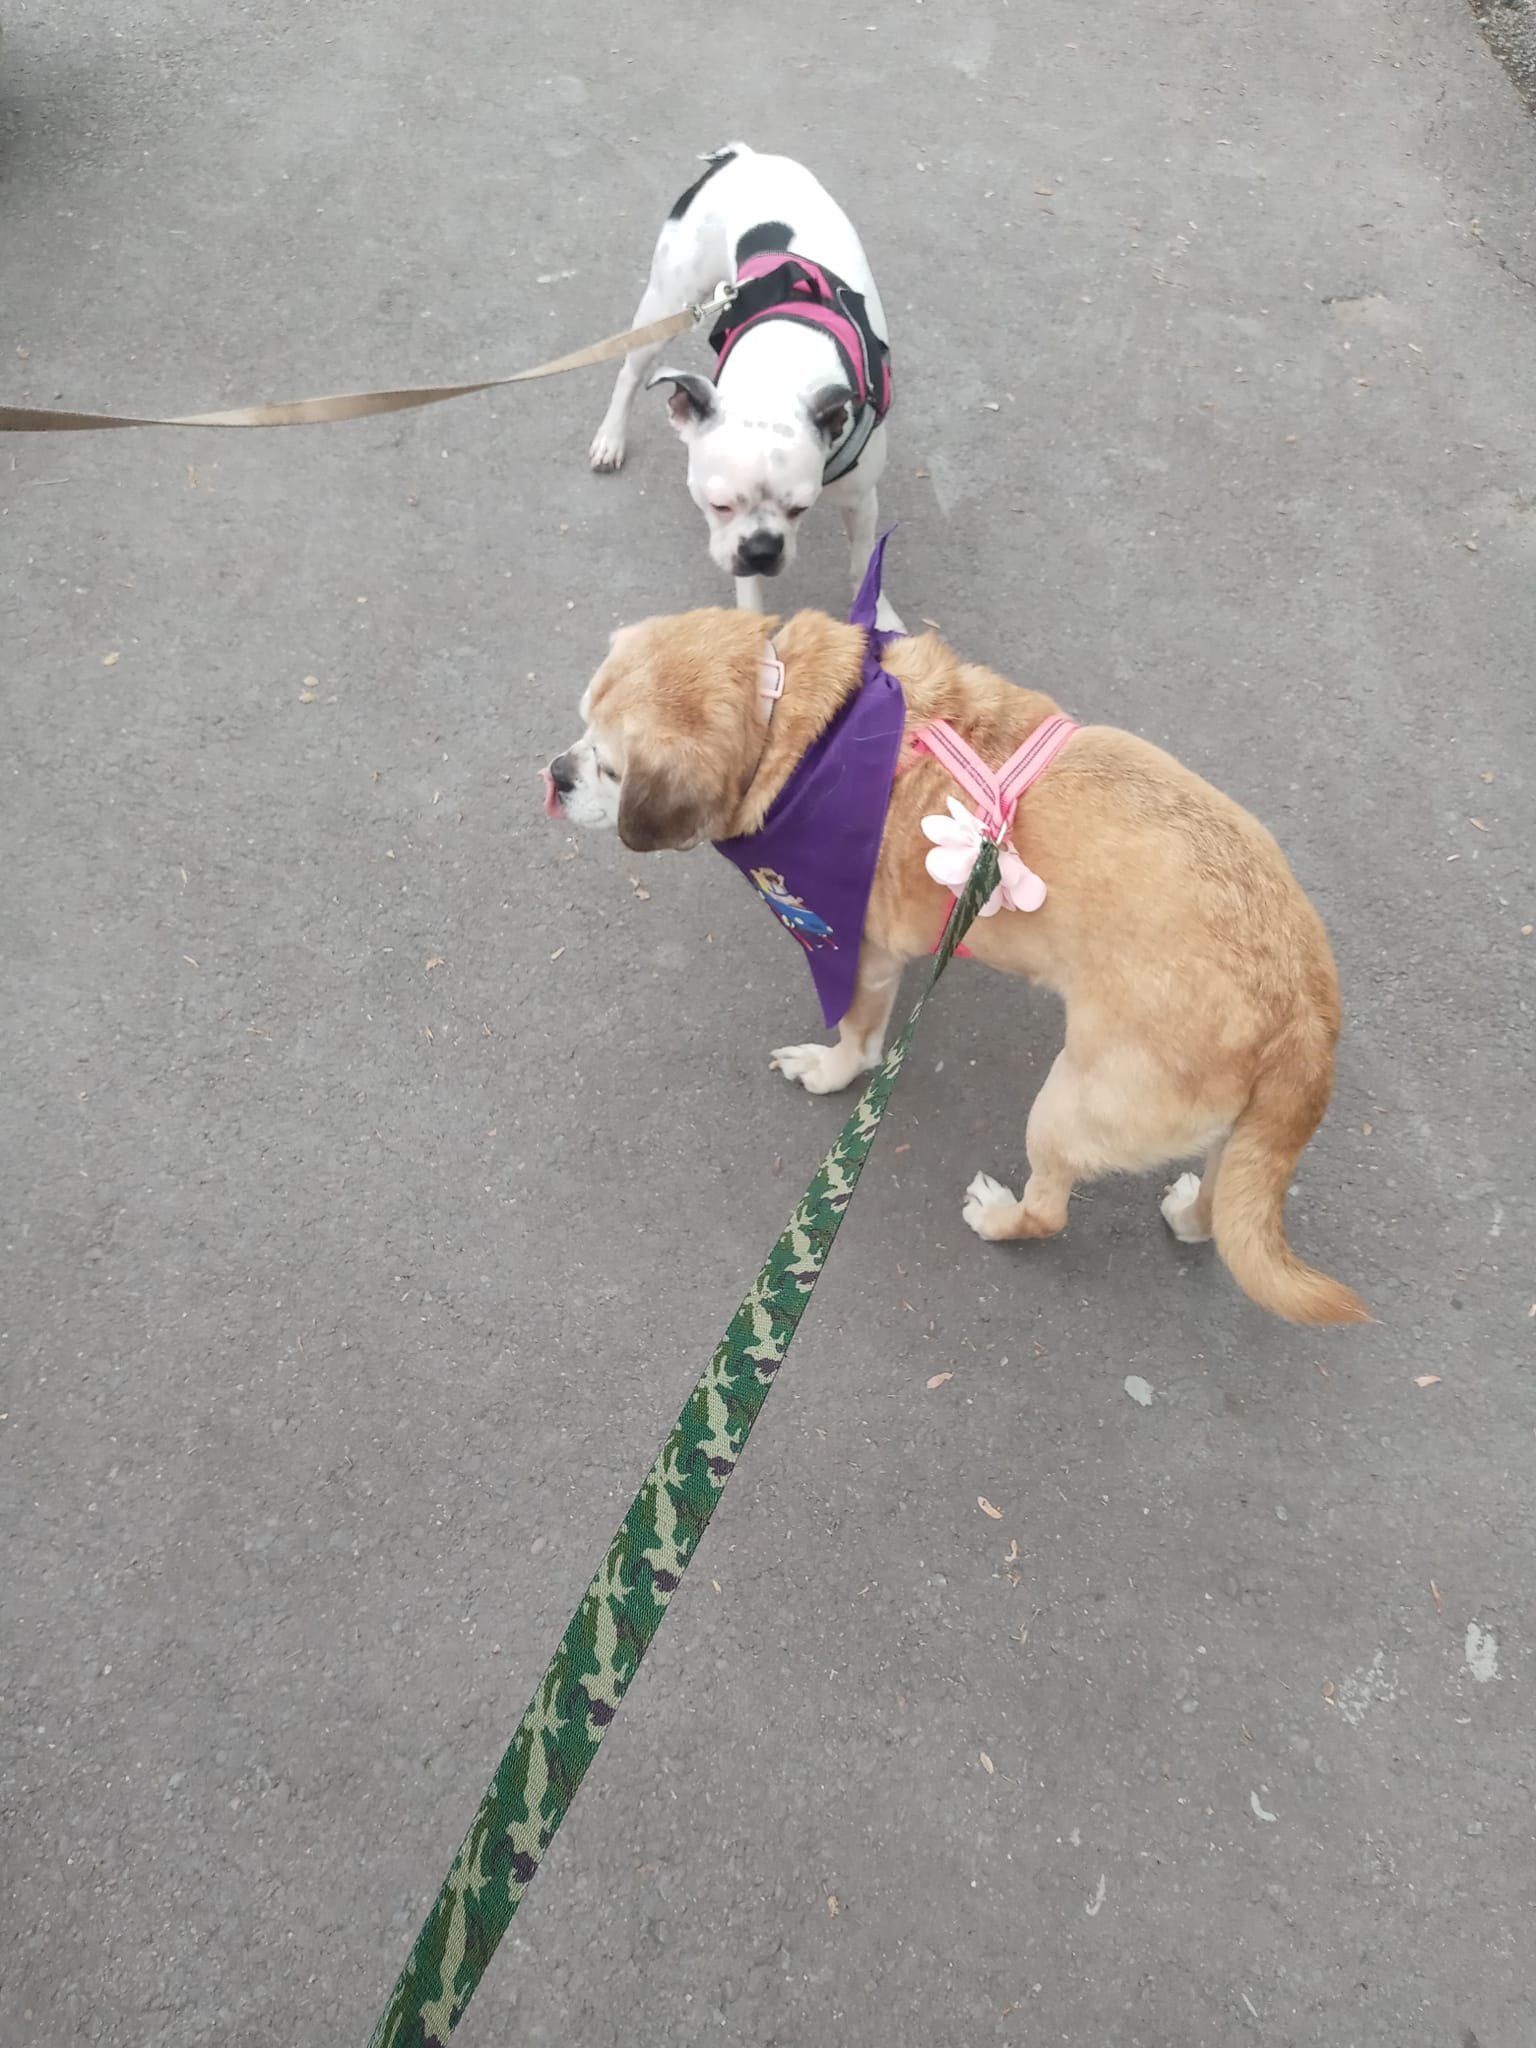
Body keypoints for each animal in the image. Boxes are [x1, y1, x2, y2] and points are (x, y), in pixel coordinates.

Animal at [545, 606, 1370, 1327]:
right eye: (580, 720)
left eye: (611, 769)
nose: (555, 773)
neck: (799, 724)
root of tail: (1302, 1012)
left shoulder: (859, 954)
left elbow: (856, 1043)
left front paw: (829, 1069)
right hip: (1234, 1142)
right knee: (1222, 1217)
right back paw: (1187, 1215)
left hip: (1066, 1107)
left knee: (1050, 1212)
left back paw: (1002, 1218)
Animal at [588, 143, 901, 629]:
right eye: (718, 506)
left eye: (800, 508)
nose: (762, 551)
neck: (781, 369)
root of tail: (741, 156)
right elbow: (750, 595)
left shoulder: (861, 499)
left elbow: (865, 562)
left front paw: (879, 616)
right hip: (668, 302)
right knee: (630, 372)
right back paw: (611, 438)